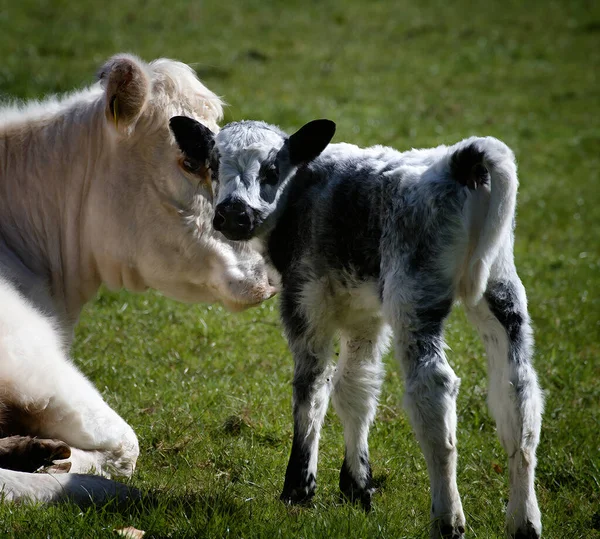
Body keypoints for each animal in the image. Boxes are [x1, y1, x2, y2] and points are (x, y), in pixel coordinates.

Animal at [177, 118, 544, 539]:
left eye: (271, 170)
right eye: (214, 165)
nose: (234, 214)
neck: (305, 189)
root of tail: (457, 160)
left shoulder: (305, 302)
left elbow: (312, 388)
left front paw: (298, 489)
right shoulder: (363, 315)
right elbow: (356, 388)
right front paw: (357, 486)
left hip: (414, 295)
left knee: (433, 390)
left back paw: (447, 517)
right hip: (501, 293)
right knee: (518, 394)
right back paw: (524, 520)